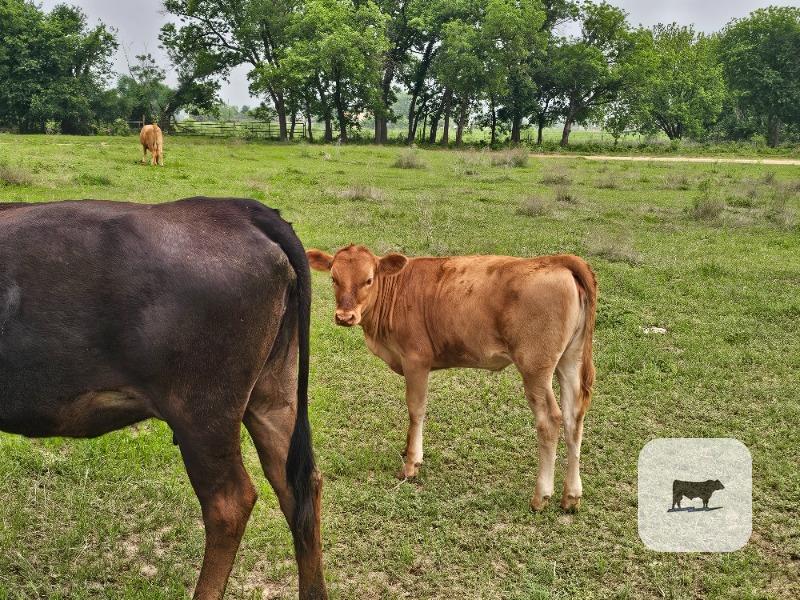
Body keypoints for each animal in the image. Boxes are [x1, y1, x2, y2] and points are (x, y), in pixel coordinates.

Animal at [306, 245, 596, 512]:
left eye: (368, 279)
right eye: (333, 278)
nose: (345, 316)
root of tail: (557, 260)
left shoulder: (416, 360)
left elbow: (415, 409)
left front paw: (411, 463)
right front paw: (406, 449)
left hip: (535, 367)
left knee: (550, 419)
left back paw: (540, 496)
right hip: (569, 360)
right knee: (573, 417)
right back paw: (571, 496)